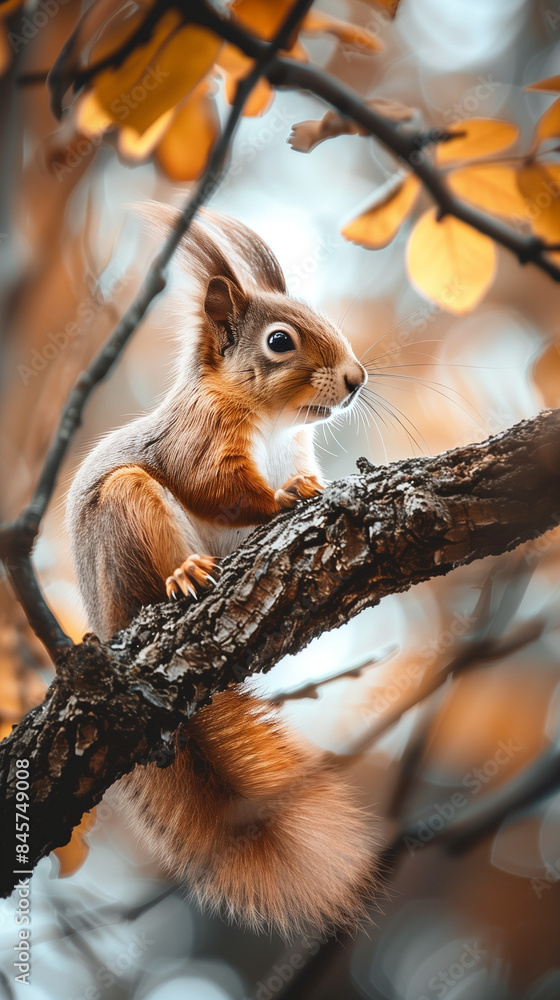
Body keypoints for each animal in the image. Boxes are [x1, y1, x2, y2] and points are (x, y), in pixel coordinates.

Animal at [65, 205, 374, 937]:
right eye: (280, 342)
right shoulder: (199, 438)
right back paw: (184, 576)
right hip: (127, 516)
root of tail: (105, 626)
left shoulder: (296, 449)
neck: (272, 421)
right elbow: (219, 489)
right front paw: (283, 501)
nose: (356, 379)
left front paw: (310, 488)